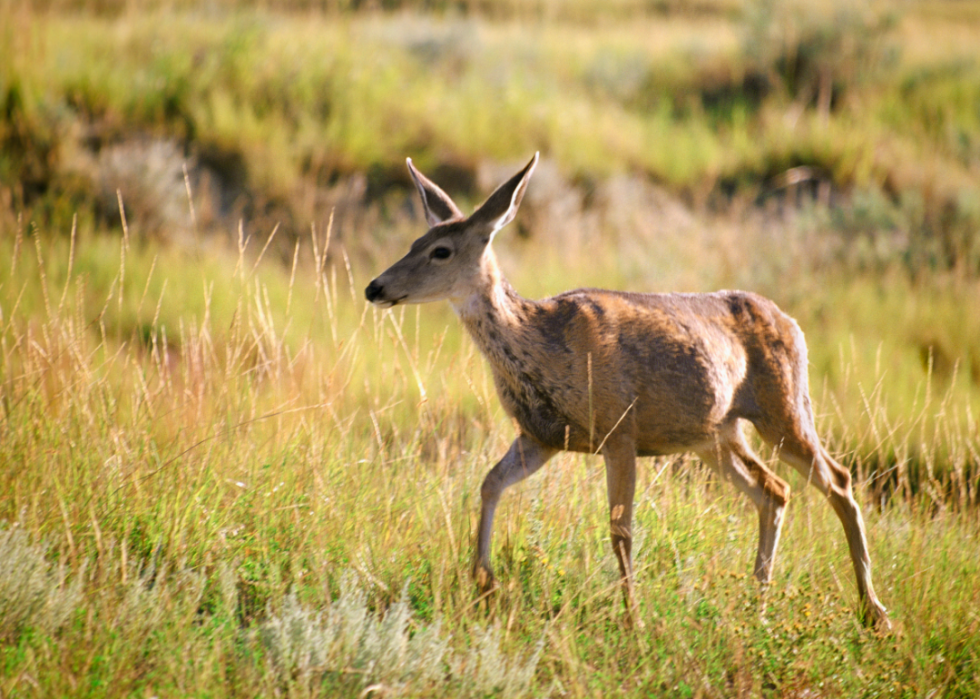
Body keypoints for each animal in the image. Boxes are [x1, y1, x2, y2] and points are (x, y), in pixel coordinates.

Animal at [364, 154, 892, 636]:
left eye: (441, 251)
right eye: (414, 242)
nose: (375, 286)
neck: (543, 345)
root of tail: (793, 323)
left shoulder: (619, 431)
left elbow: (621, 529)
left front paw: (633, 618)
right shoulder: (542, 436)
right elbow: (489, 483)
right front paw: (485, 582)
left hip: (783, 406)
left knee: (838, 480)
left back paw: (873, 611)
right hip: (716, 433)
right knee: (773, 489)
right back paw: (757, 603)